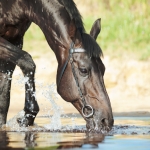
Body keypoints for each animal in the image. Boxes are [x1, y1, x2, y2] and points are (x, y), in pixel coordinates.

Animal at [0, 0, 113, 131]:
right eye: (83, 70)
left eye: (103, 69)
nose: (106, 121)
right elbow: (27, 61)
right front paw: (28, 116)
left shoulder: (16, 40)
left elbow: (3, 100)